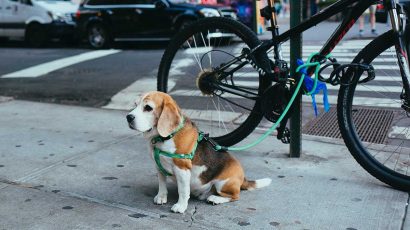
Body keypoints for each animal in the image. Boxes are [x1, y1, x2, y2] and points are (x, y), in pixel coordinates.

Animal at [126, 91, 270, 214]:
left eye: (148, 108)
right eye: (135, 104)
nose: (128, 117)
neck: (165, 137)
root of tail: (243, 178)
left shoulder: (182, 169)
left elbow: (183, 191)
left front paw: (181, 206)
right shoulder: (159, 166)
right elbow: (162, 184)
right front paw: (161, 197)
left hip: (223, 183)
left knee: (235, 196)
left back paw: (215, 199)